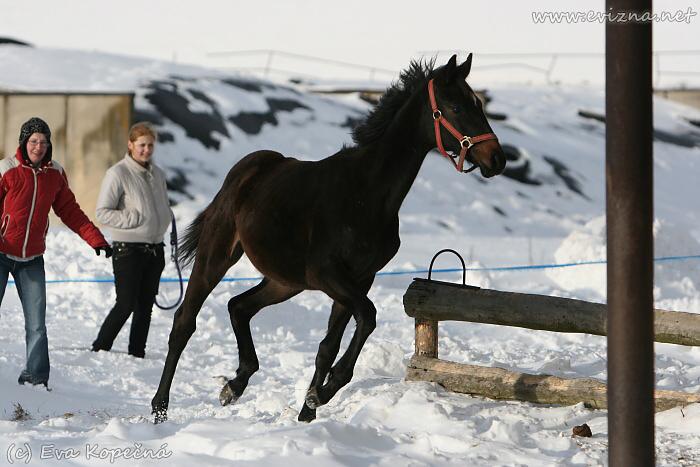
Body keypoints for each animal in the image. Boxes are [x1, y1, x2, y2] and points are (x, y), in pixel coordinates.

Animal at [152, 54, 504, 424]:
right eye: (455, 107)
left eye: (478, 104)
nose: (497, 158)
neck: (365, 194)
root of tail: (244, 171)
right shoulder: (328, 275)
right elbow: (368, 317)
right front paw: (324, 391)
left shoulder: (359, 279)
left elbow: (329, 345)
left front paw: (310, 407)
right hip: (218, 255)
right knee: (184, 322)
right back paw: (160, 408)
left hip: (285, 281)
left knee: (239, 307)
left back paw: (234, 386)